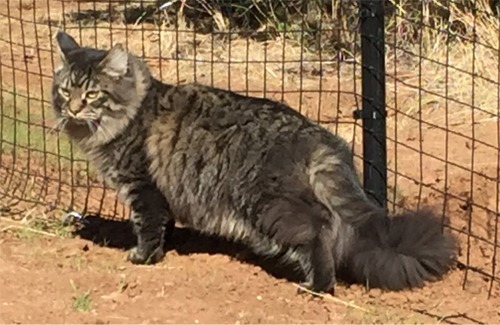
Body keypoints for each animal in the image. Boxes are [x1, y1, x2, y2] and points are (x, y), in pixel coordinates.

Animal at [49, 31, 458, 294]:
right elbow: (166, 224)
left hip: (266, 205)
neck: (130, 114)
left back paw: (318, 286)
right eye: (65, 90)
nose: (72, 109)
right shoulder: (161, 195)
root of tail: (317, 135)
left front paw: (143, 257)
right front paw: (168, 246)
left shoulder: (142, 188)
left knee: (319, 230)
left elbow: (146, 226)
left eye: (92, 94)